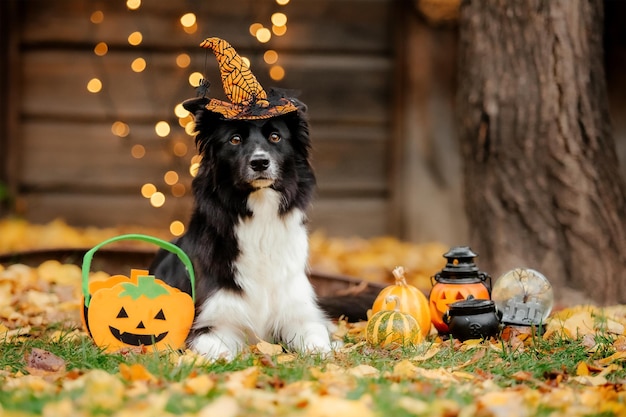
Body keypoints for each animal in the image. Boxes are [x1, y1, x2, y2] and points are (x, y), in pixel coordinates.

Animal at [149, 97, 334, 358]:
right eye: (234, 139)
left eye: (275, 137)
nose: (260, 162)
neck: (260, 220)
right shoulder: (209, 324)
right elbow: (222, 355)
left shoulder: (300, 314)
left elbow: (318, 342)